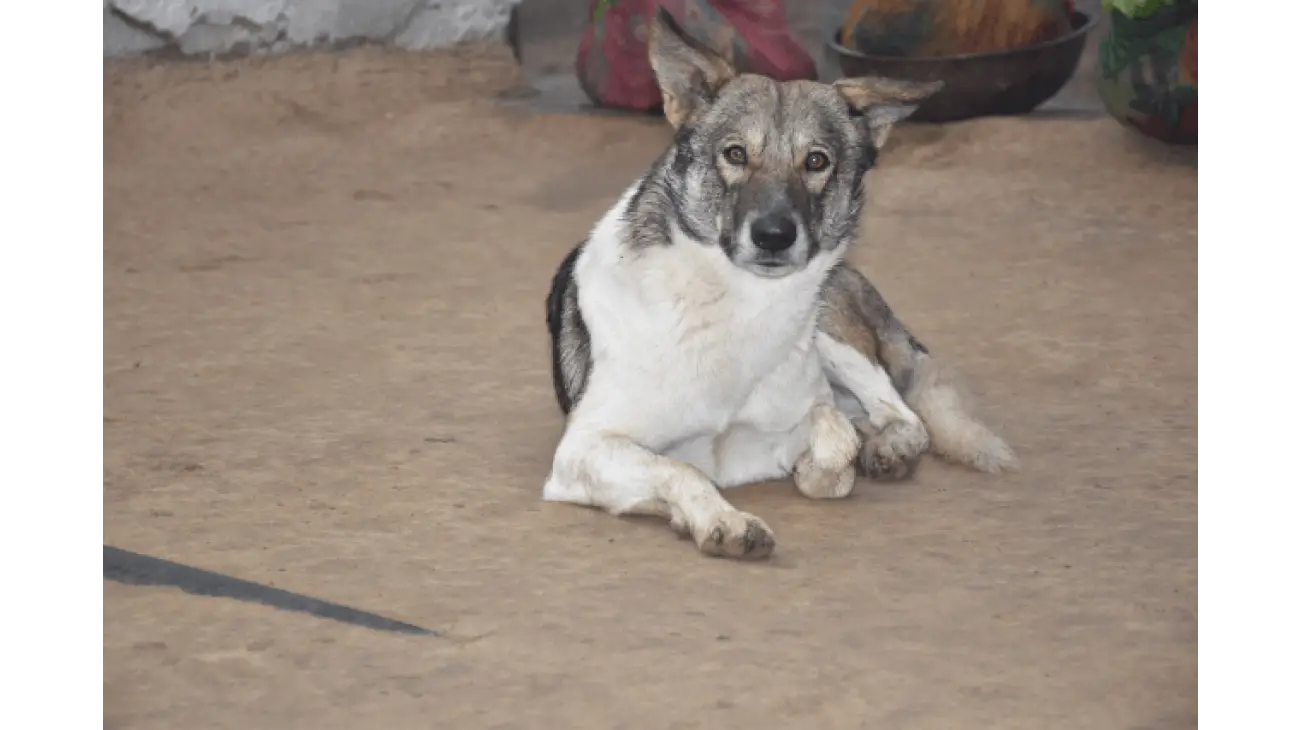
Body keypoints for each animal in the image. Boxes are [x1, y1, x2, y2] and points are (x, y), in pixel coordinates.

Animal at [543, 8, 1019, 555]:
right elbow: (680, 469)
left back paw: (886, 445)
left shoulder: (777, 434)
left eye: (816, 161)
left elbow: (833, 441)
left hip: (834, 333)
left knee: (902, 415)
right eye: (734, 154)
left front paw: (827, 461)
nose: (773, 236)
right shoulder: (584, 450)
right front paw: (718, 521)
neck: (736, 304)